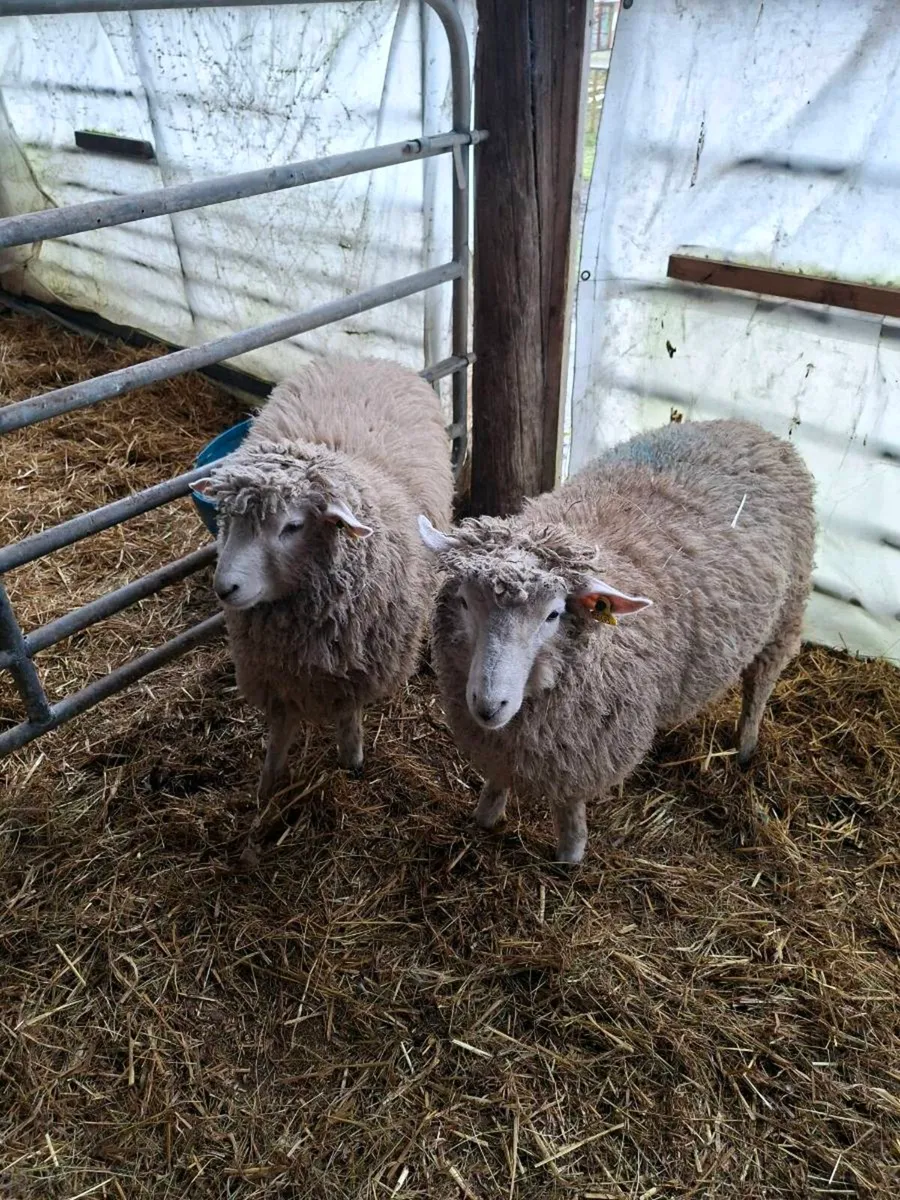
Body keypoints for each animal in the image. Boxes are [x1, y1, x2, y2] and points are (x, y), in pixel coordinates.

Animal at [195, 356, 454, 800]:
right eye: (228, 517)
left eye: (292, 526)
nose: (225, 587)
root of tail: (368, 359)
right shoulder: (273, 671)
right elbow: (280, 729)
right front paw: (267, 788)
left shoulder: (355, 667)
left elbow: (347, 715)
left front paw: (352, 761)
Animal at [418, 418, 816, 864]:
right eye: (464, 601)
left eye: (553, 615)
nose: (489, 705)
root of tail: (750, 427)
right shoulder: (500, 743)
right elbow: (497, 777)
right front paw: (486, 816)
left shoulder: (582, 752)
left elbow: (569, 805)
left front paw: (570, 856)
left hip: (786, 614)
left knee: (759, 685)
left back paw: (746, 746)